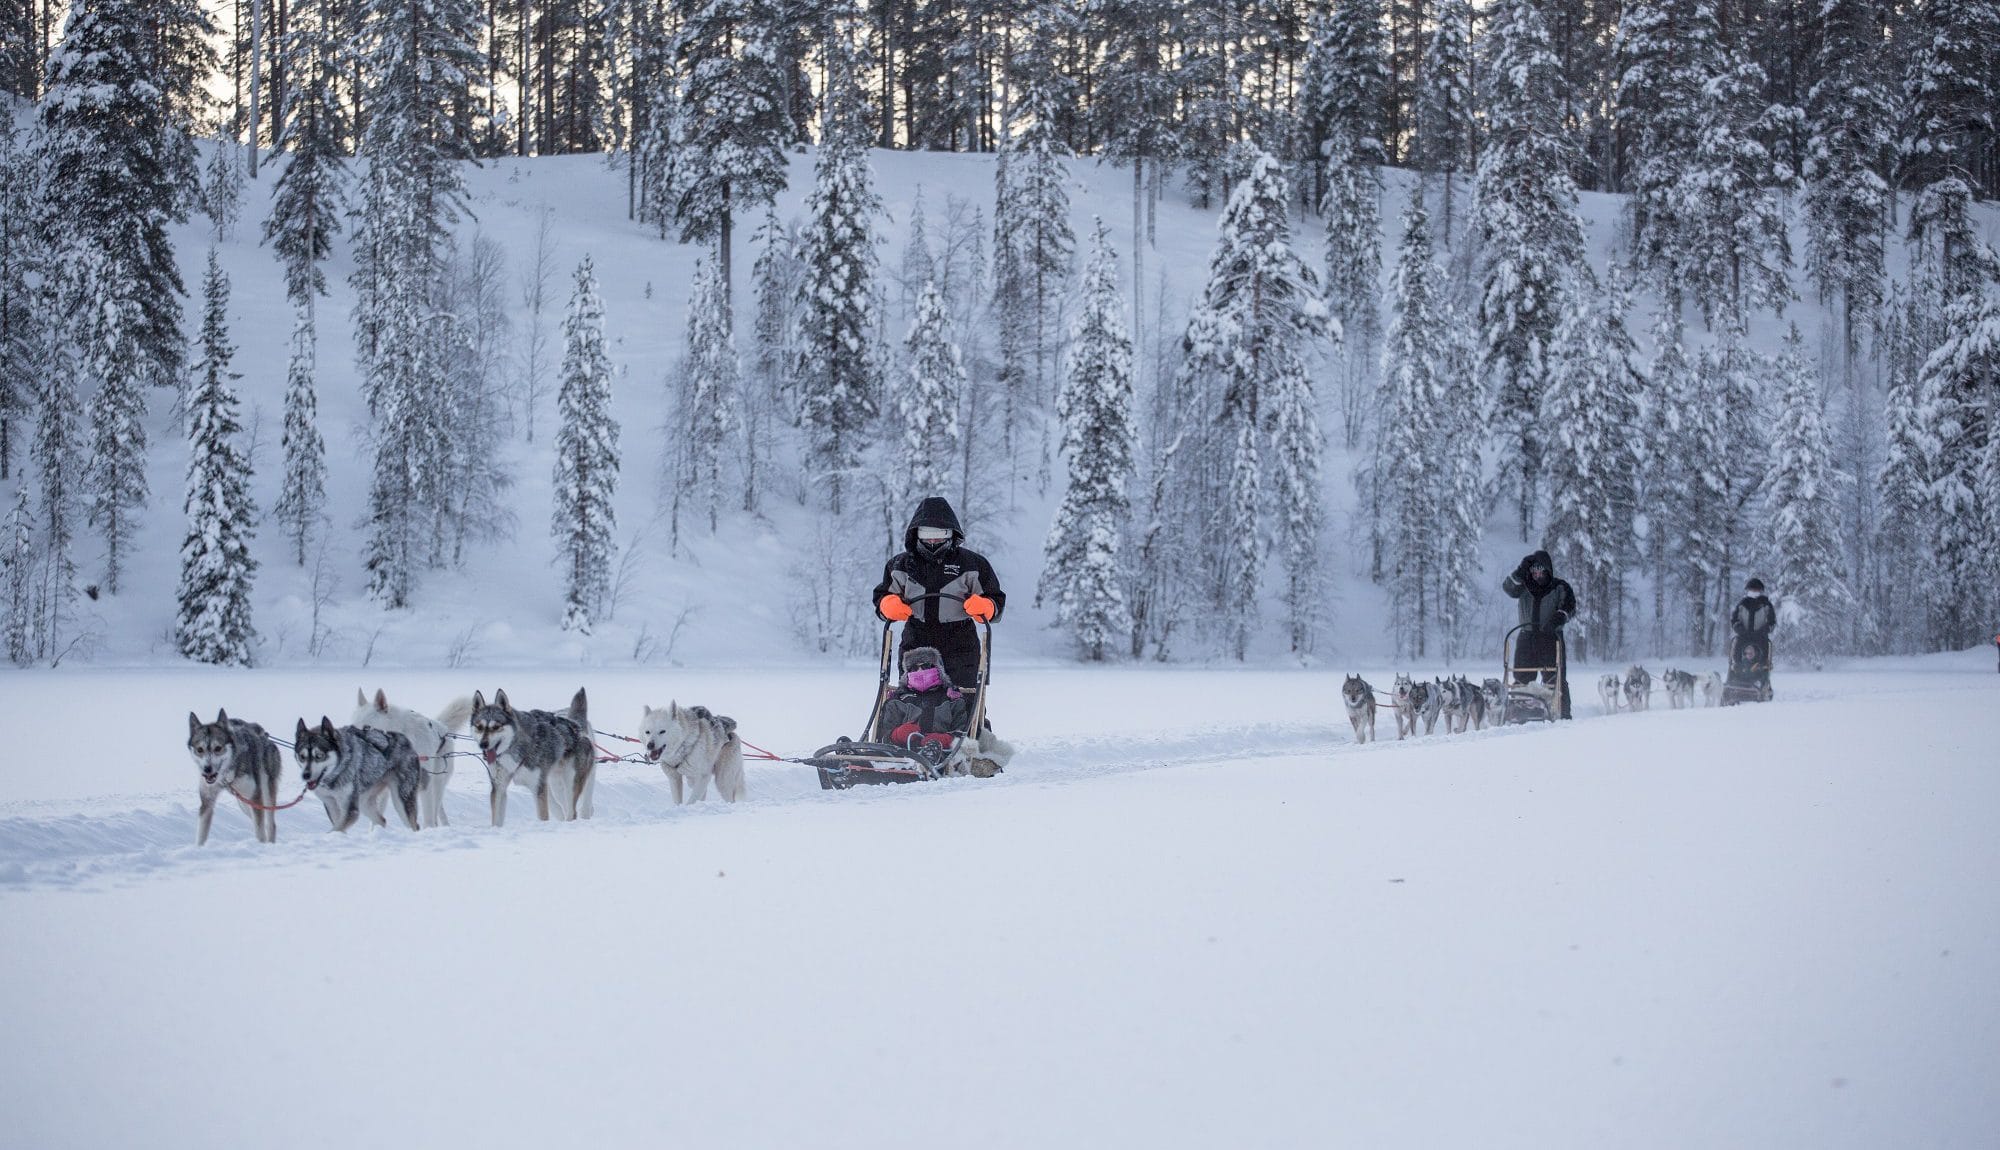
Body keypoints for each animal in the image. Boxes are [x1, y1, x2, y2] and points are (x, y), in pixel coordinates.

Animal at [188, 712, 284, 848]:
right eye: (200, 749)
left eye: (218, 748)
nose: (207, 769)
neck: (226, 775)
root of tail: (265, 735)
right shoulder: (207, 802)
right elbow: (201, 835)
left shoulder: (256, 796)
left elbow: (260, 832)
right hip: (244, 803)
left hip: (264, 794)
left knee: (270, 824)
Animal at [290, 716, 422, 832]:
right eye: (302, 756)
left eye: (319, 756)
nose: (305, 775)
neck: (335, 775)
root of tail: (406, 741)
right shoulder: (330, 804)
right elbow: (337, 826)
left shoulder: (350, 810)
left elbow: (336, 829)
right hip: (364, 802)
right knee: (382, 820)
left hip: (402, 801)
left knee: (413, 825)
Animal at [354, 688, 474, 824]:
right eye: (352, 726)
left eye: (367, 727)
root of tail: (442, 727)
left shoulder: (425, 785)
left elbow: (428, 819)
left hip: (436, 783)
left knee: (435, 811)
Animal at [468, 688, 592, 824]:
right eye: (479, 727)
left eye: (496, 727)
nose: (483, 744)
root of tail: (578, 728)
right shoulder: (499, 787)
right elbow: (496, 821)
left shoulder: (538, 788)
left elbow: (543, 816)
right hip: (556, 783)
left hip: (570, 783)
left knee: (572, 811)